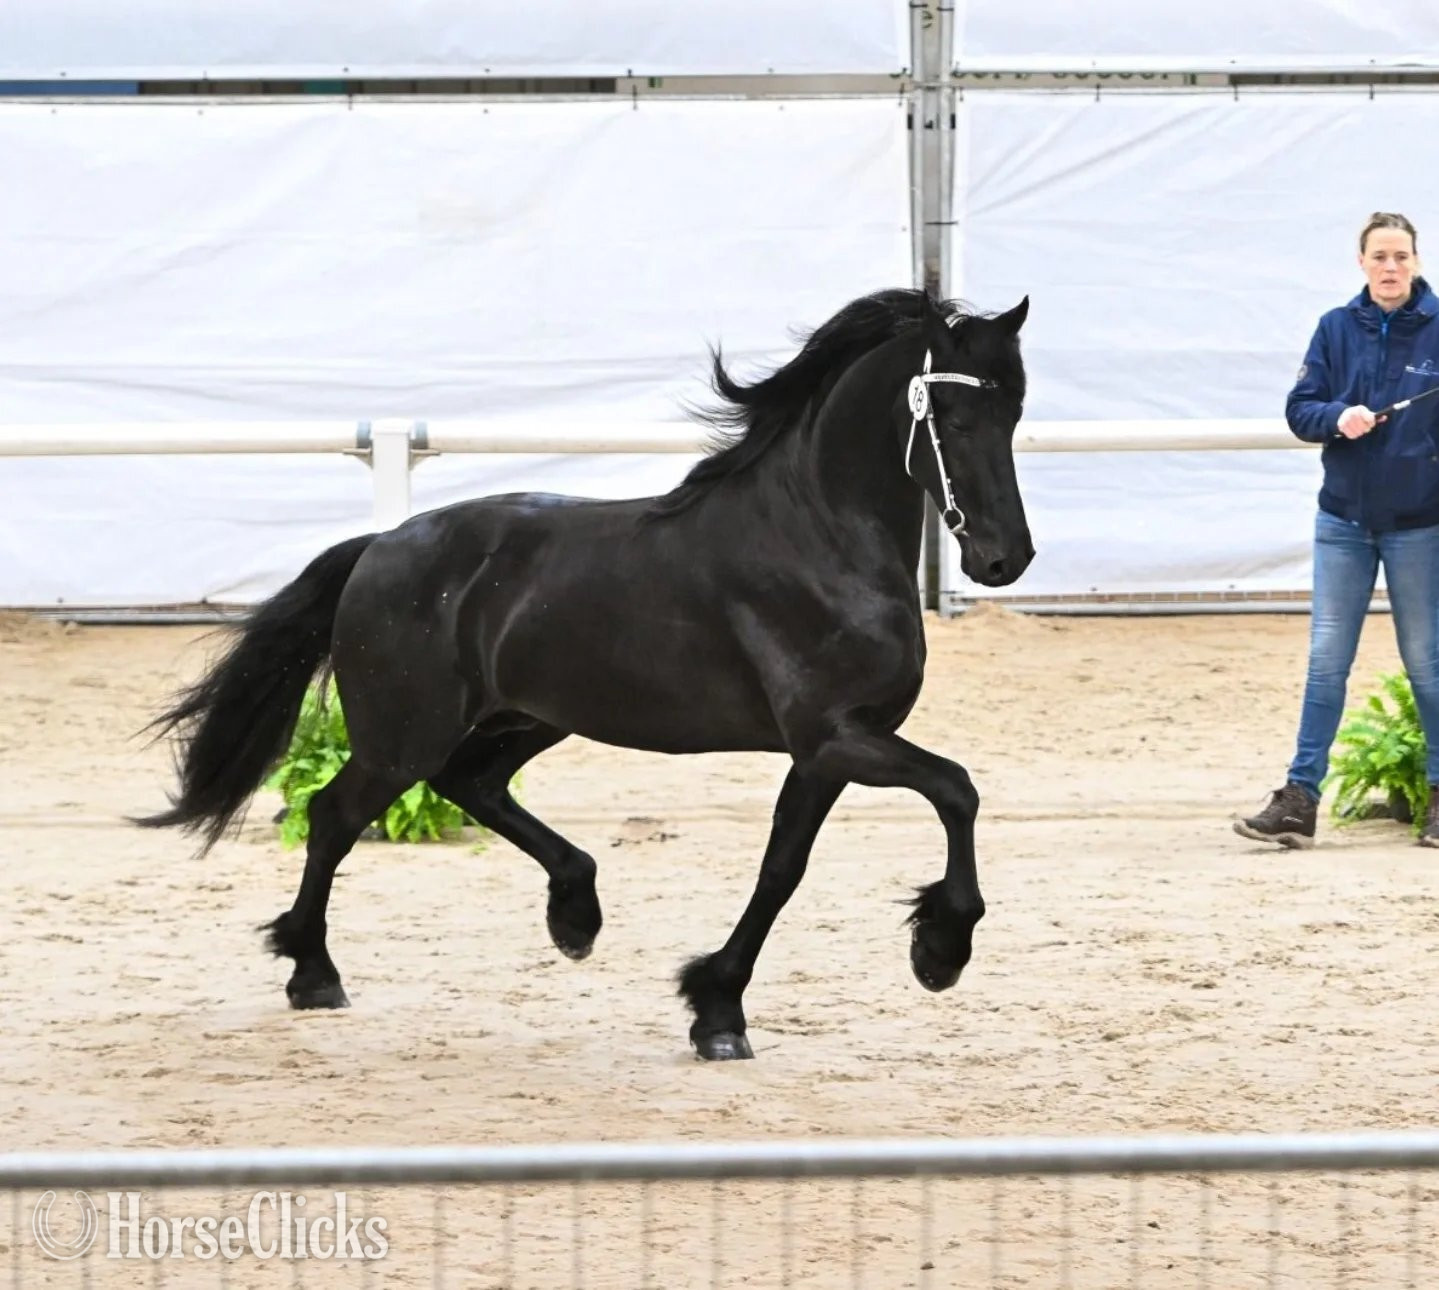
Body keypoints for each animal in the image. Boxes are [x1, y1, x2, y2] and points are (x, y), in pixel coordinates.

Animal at [134, 285, 1034, 1060]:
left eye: (1015, 410)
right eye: (952, 414)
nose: (1004, 560)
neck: (816, 540)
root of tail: (380, 547)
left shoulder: (824, 753)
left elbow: (782, 870)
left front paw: (716, 1010)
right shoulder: (836, 737)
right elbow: (955, 789)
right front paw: (939, 951)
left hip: (528, 717)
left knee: (472, 784)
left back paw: (575, 913)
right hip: (405, 737)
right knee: (333, 815)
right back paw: (314, 975)